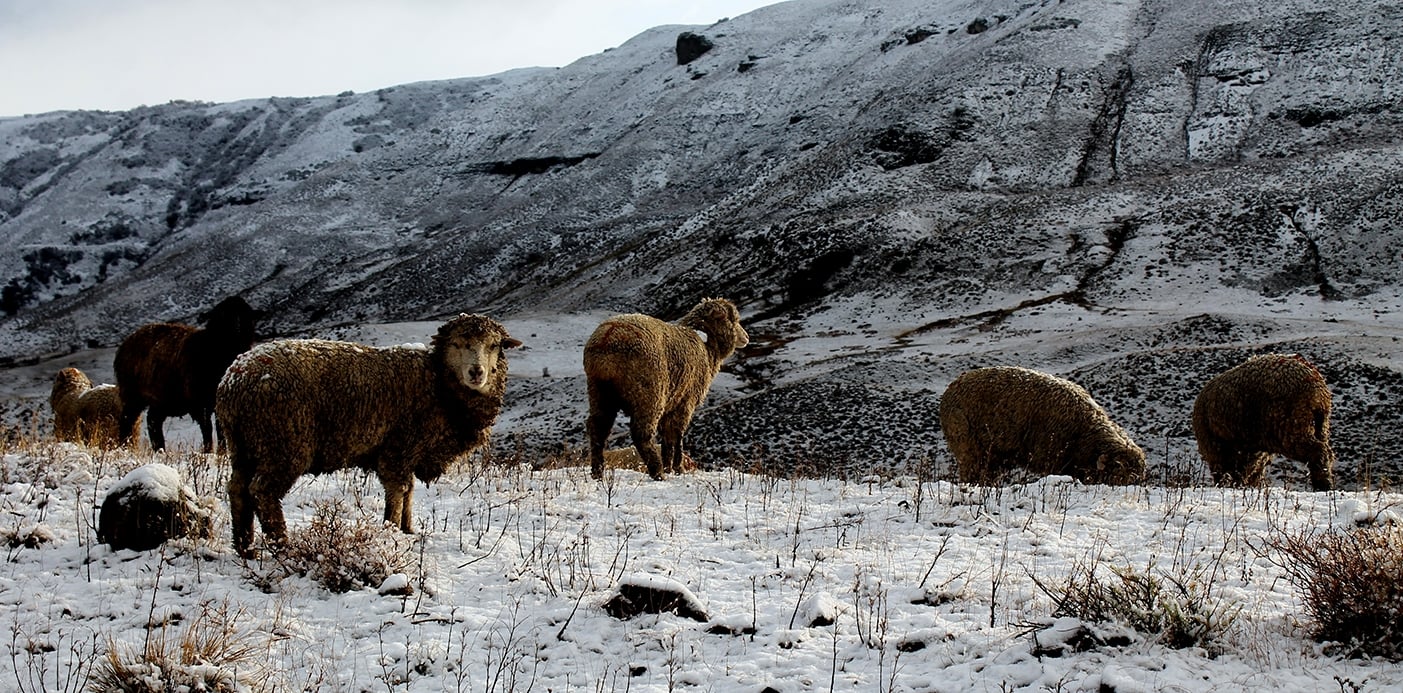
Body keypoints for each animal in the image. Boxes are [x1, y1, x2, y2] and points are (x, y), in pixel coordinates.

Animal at [114, 296, 263, 452]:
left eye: (246, 314)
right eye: (222, 315)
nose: (237, 329)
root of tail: (125, 343)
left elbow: (220, 430)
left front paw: (221, 452)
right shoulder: (199, 403)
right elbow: (207, 429)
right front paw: (208, 451)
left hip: (161, 400)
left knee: (153, 421)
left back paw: (159, 449)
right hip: (132, 396)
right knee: (127, 421)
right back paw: (125, 447)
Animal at [216, 313, 521, 557]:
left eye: (494, 345)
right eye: (457, 344)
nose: (476, 372)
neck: (440, 386)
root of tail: (234, 381)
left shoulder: (409, 452)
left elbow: (409, 490)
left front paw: (408, 530)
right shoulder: (399, 447)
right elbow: (399, 490)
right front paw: (392, 531)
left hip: (244, 444)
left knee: (237, 488)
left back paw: (245, 547)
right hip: (283, 442)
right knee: (262, 491)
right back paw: (282, 545)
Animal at [584, 298, 749, 481]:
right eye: (734, 320)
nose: (747, 338)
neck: (707, 348)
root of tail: (608, 337)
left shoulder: (671, 403)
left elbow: (667, 440)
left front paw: (670, 467)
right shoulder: (685, 402)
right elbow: (677, 436)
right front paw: (678, 469)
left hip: (599, 391)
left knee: (598, 429)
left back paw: (598, 472)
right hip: (649, 393)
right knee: (642, 434)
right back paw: (657, 472)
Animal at [1191, 353, 1335, 491]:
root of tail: (1317, 387)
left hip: (1291, 426)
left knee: (1318, 450)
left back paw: (1322, 484)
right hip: (1321, 425)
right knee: (1326, 451)